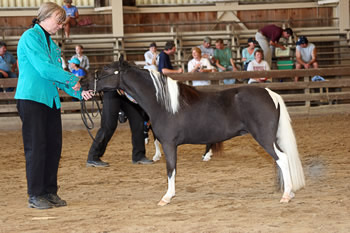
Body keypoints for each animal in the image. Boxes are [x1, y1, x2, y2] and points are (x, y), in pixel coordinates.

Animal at [81, 58, 304, 206]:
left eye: (106, 69)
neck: (162, 102)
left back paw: (286, 195)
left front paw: (167, 197)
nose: (83, 83)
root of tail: (270, 94)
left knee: (282, 159)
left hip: (265, 138)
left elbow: (171, 169)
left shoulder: (169, 144)